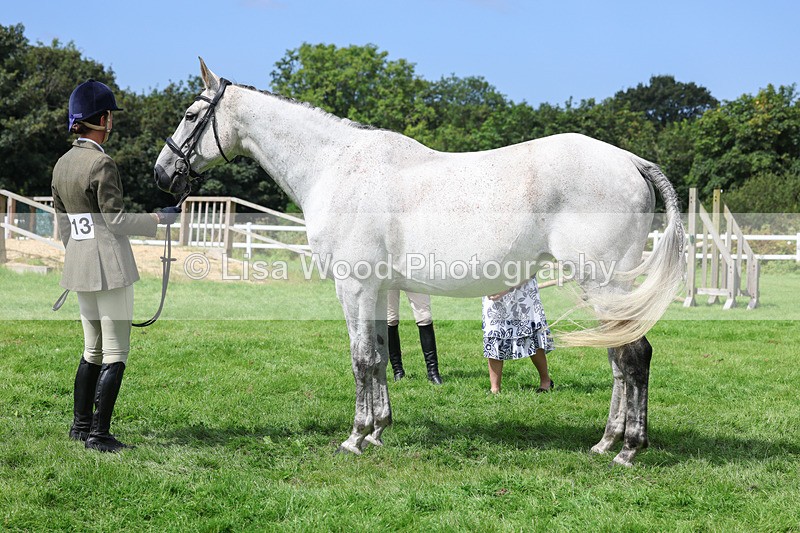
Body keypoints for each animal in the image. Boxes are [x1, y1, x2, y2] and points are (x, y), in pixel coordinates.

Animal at [154, 58, 685, 467]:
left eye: (190, 114)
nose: (162, 173)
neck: (335, 167)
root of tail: (631, 162)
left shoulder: (353, 286)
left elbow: (361, 359)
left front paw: (355, 437)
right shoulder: (375, 289)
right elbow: (378, 357)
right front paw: (378, 430)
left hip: (604, 283)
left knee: (634, 357)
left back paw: (628, 450)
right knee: (619, 360)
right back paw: (605, 443)